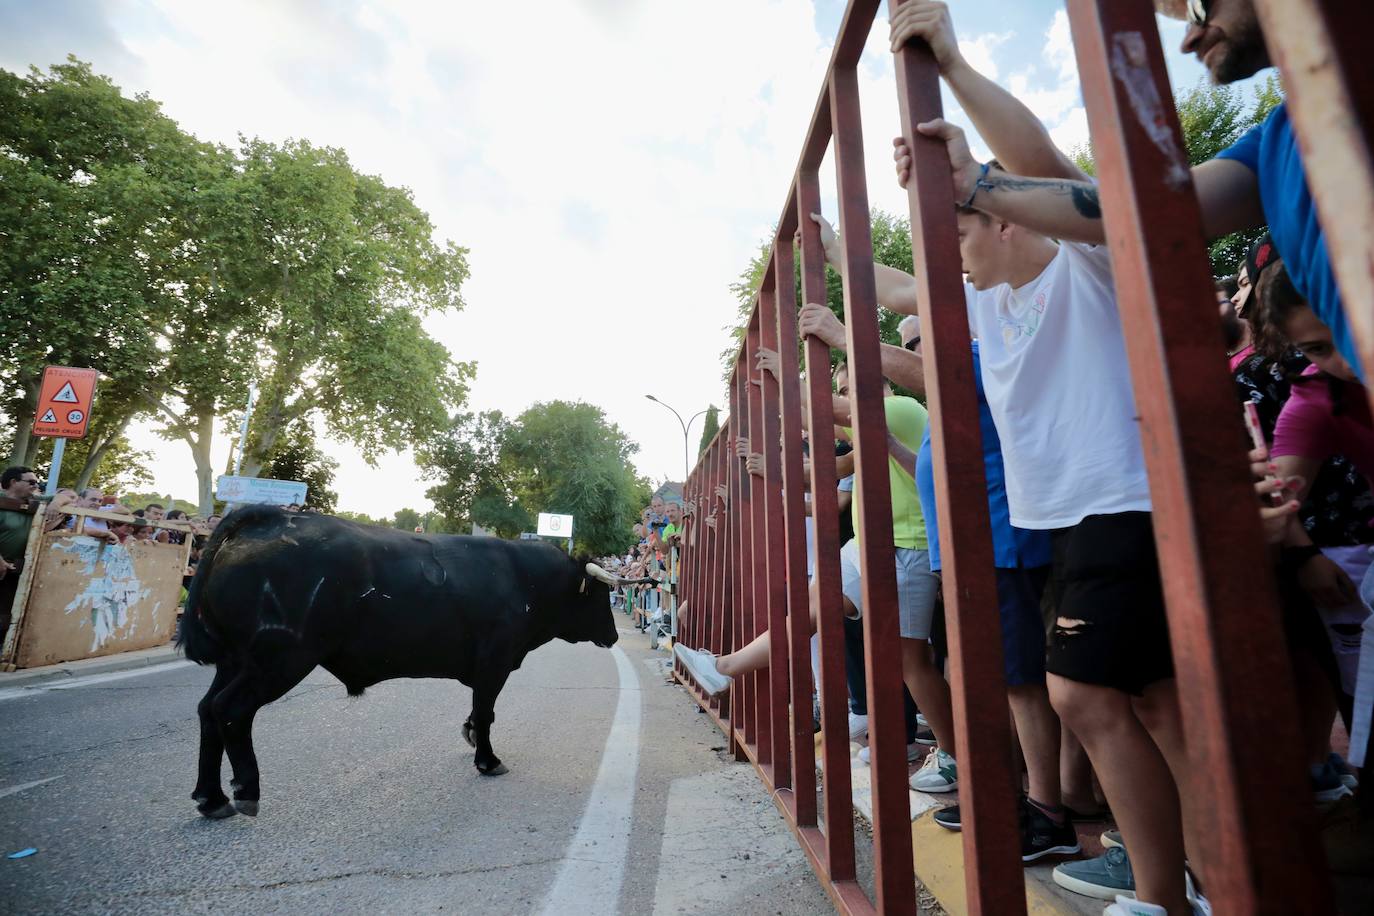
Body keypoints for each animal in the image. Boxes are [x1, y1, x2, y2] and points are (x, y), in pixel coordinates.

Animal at [179, 505, 626, 818]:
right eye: (600, 598)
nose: (615, 634)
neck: (522, 578)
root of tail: (266, 518)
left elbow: (477, 712)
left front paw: (470, 737)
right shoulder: (494, 663)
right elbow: (486, 713)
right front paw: (487, 760)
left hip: (235, 661)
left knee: (206, 711)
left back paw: (211, 798)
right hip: (278, 660)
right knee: (231, 711)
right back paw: (246, 791)